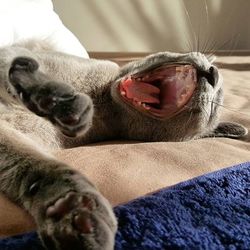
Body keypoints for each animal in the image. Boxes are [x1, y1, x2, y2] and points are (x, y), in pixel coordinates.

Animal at [0, 40, 247, 249]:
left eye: (214, 107)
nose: (213, 73)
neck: (102, 103)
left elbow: (36, 167)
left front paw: (71, 210)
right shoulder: (19, 55)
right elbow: (16, 66)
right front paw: (57, 99)